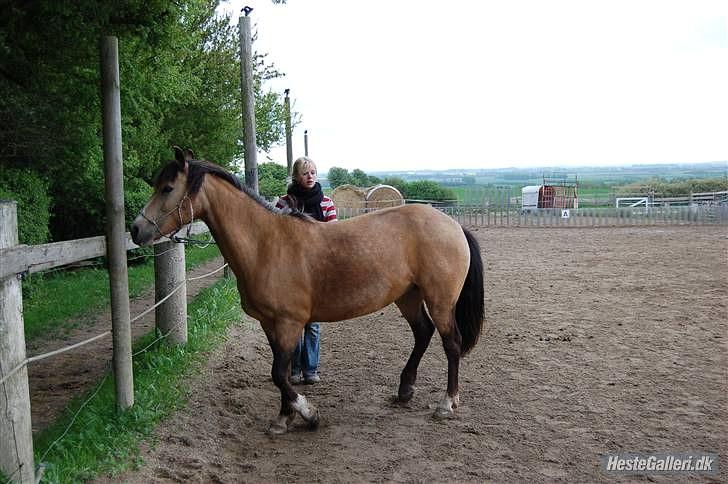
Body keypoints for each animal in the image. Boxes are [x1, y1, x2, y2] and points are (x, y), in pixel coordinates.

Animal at [131, 147, 485, 434]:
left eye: (167, 188)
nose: (136, 229)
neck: (265, 243)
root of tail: (453, 225)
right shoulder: (271, 324)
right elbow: (283, 372)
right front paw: (283, 418)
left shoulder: (288, 323)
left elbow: (279, 373)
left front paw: (308, 413)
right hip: (408, 295)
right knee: (423, 333)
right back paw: (405, 390)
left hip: (439, 300)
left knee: (451, 343)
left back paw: (446, 404)